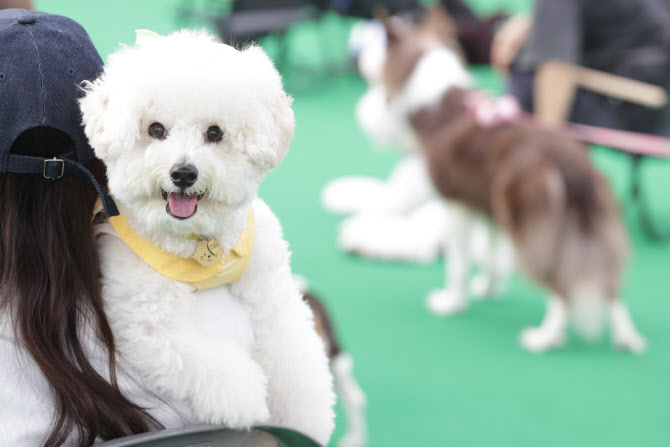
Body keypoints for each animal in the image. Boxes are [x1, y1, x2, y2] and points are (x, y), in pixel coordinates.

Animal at [80, 30, 336, 444]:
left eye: (214, 133)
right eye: (155, 129)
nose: (183, 173)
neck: (200, 244)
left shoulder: (273, 293)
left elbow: (292, 357)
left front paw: (304, 414)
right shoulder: (149, 322)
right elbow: (211, 364)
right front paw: (249, 403)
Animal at [378, 7, 644, 354]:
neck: (440, 107)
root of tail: (572, 165)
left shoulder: (456, 204)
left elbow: (458, 263)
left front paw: (451, 303)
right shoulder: (489, 205)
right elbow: (492, 255)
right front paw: (488, 288)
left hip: (532, 226)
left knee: (560, 284)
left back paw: (545, 337)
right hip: (587, 222)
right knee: (607, 281)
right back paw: (627, 338)